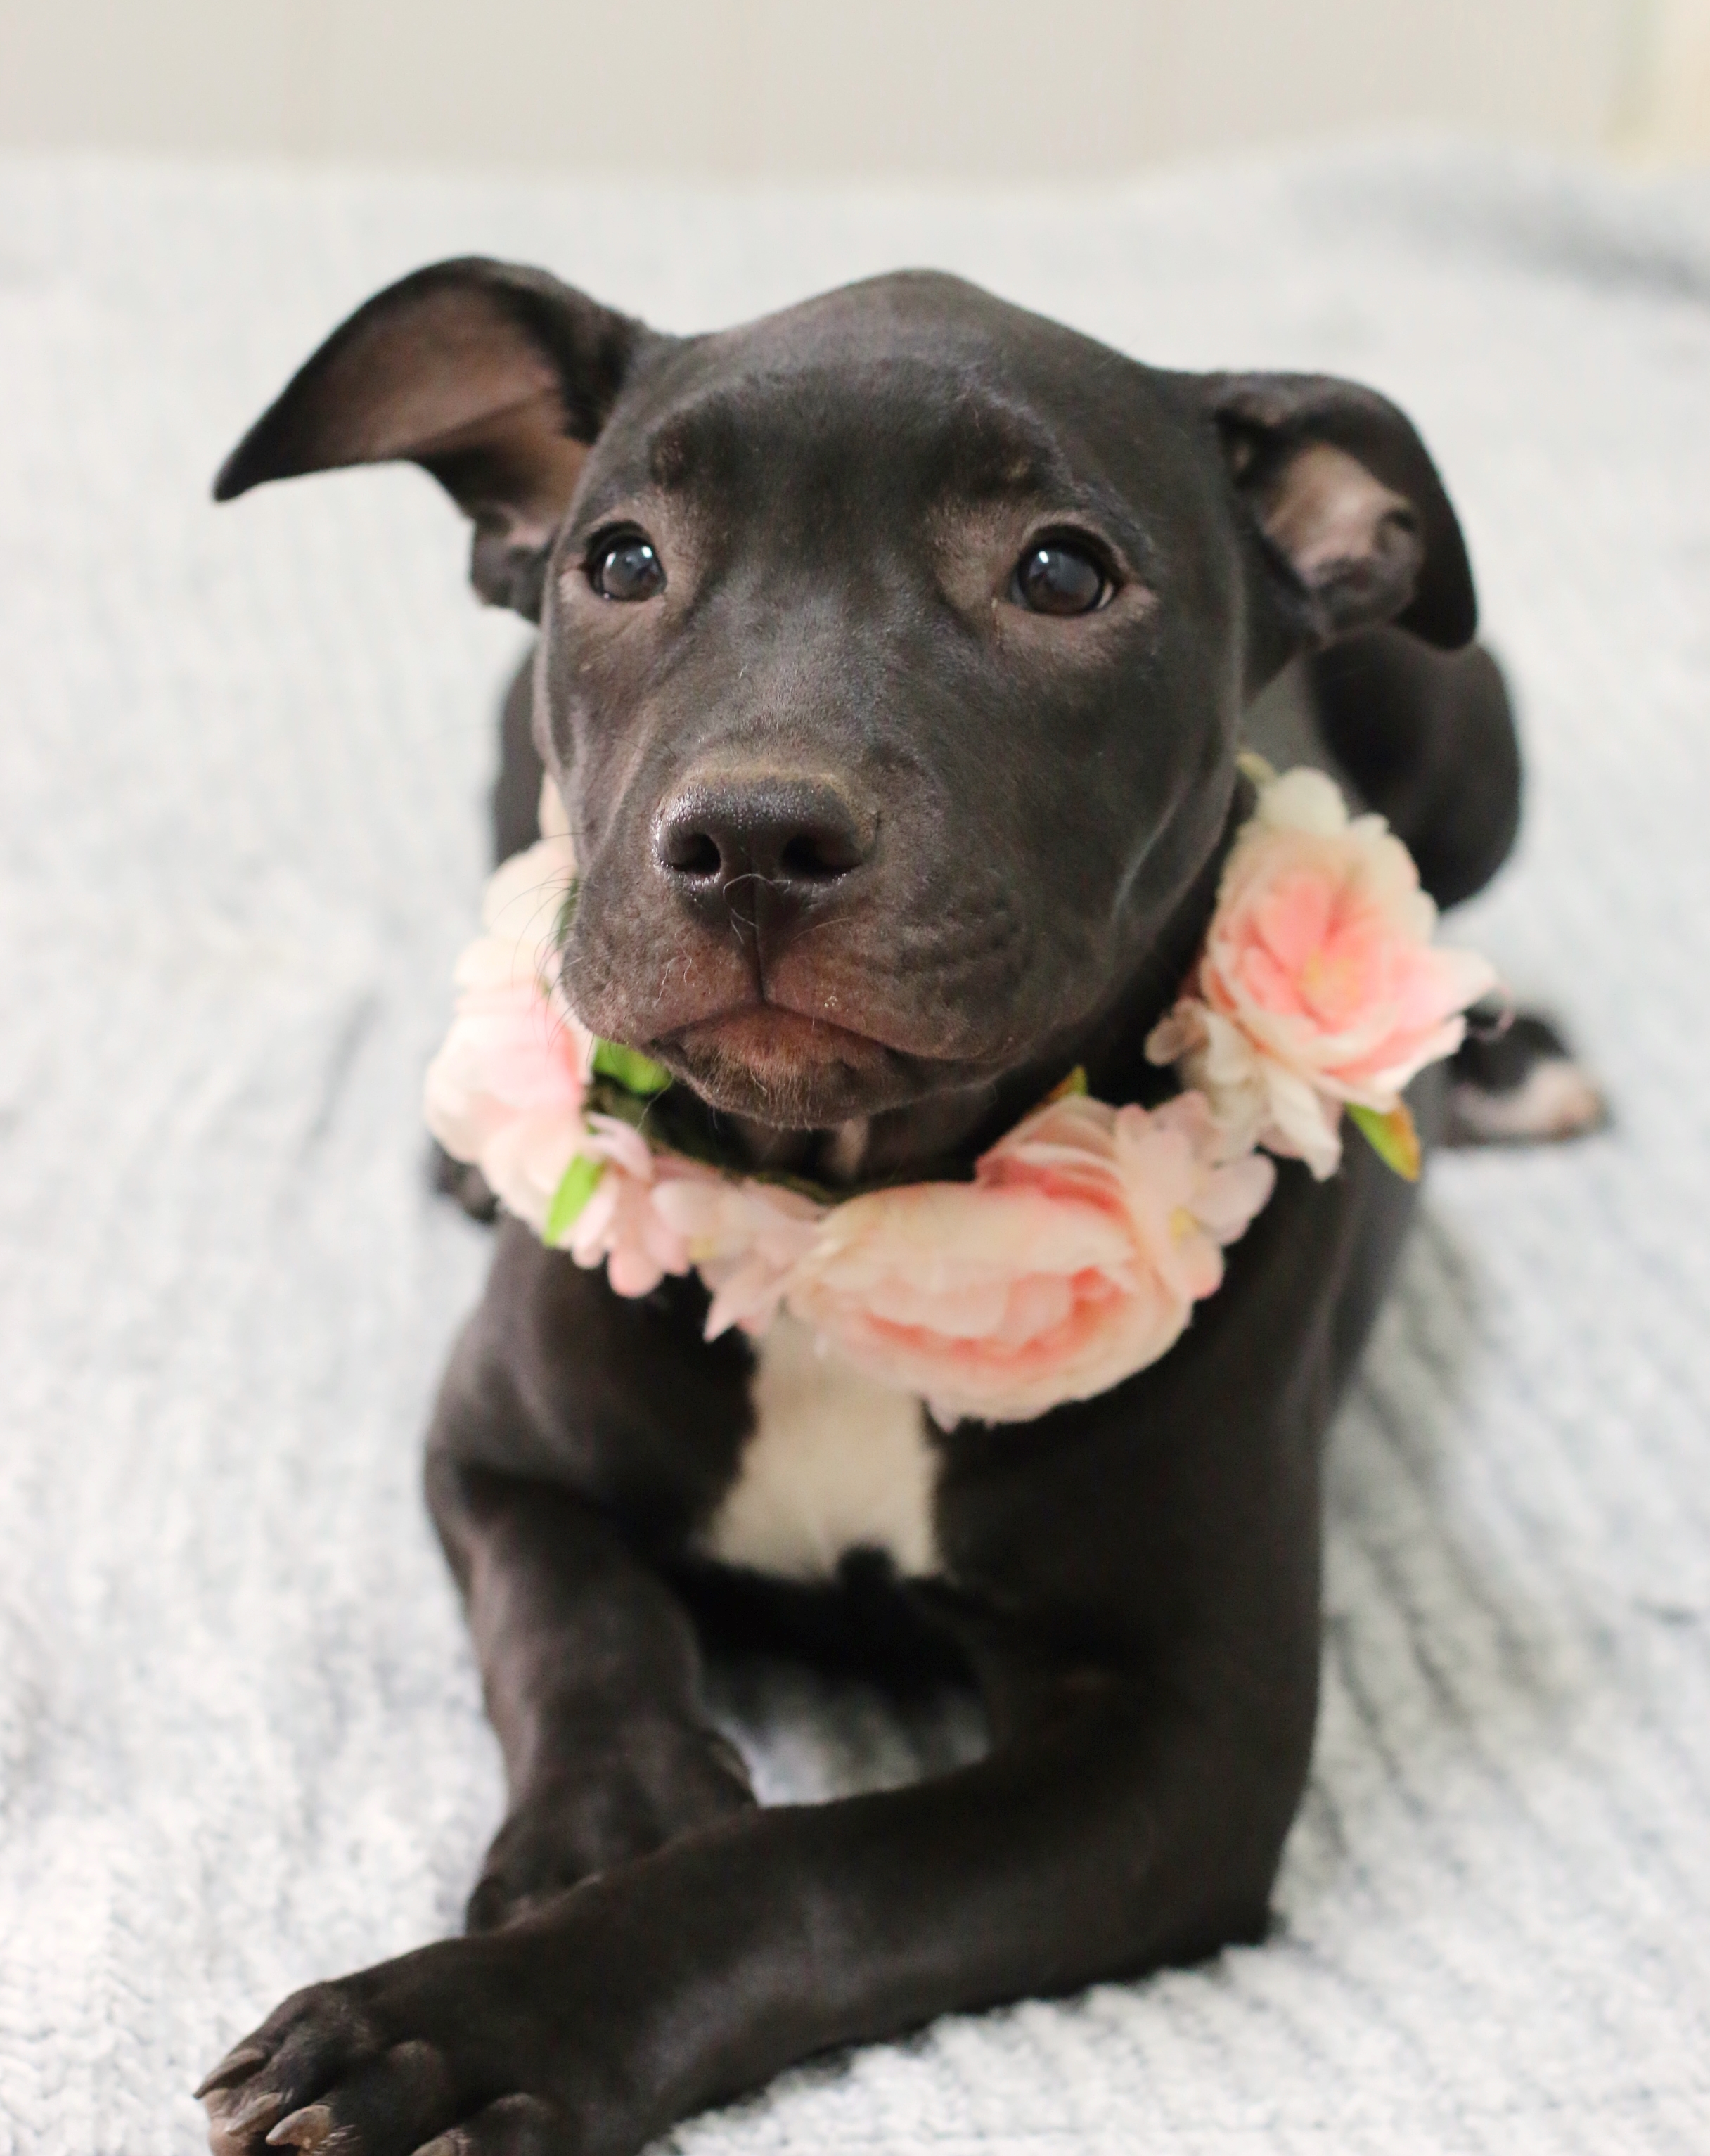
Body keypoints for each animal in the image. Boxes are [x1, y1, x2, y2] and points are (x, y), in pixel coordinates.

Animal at [197, 265, 1578, 2156]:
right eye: (620, 559)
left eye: (1062, 573)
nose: (753, 838)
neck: (836, 1208)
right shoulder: (493, 1457)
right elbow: (575, 1629)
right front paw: (607, 1821)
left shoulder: (1183, 1745)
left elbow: (804, 1878)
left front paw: (466, 2027)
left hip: (1467, 714)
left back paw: (1512, 1052)